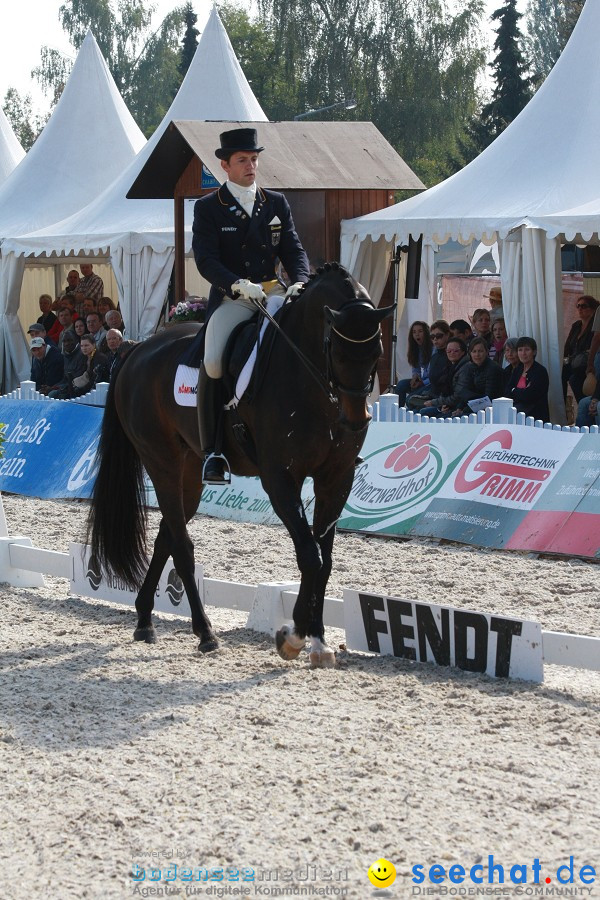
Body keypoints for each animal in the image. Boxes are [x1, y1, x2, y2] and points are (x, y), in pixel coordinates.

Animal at [85, 264, 394, 664]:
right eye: (335, 350)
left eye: (377, 351)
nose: (355, 421)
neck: (305, 375)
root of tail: (137, 350)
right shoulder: (280, 478)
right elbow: (309, 556)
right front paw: (293, 635)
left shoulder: (337, 478)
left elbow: (324, 561)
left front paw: (318, 639)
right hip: (162, 461)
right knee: (182, 545)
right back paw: (205, 633)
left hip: (191, 472)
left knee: (167, 535)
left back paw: (144, 620)